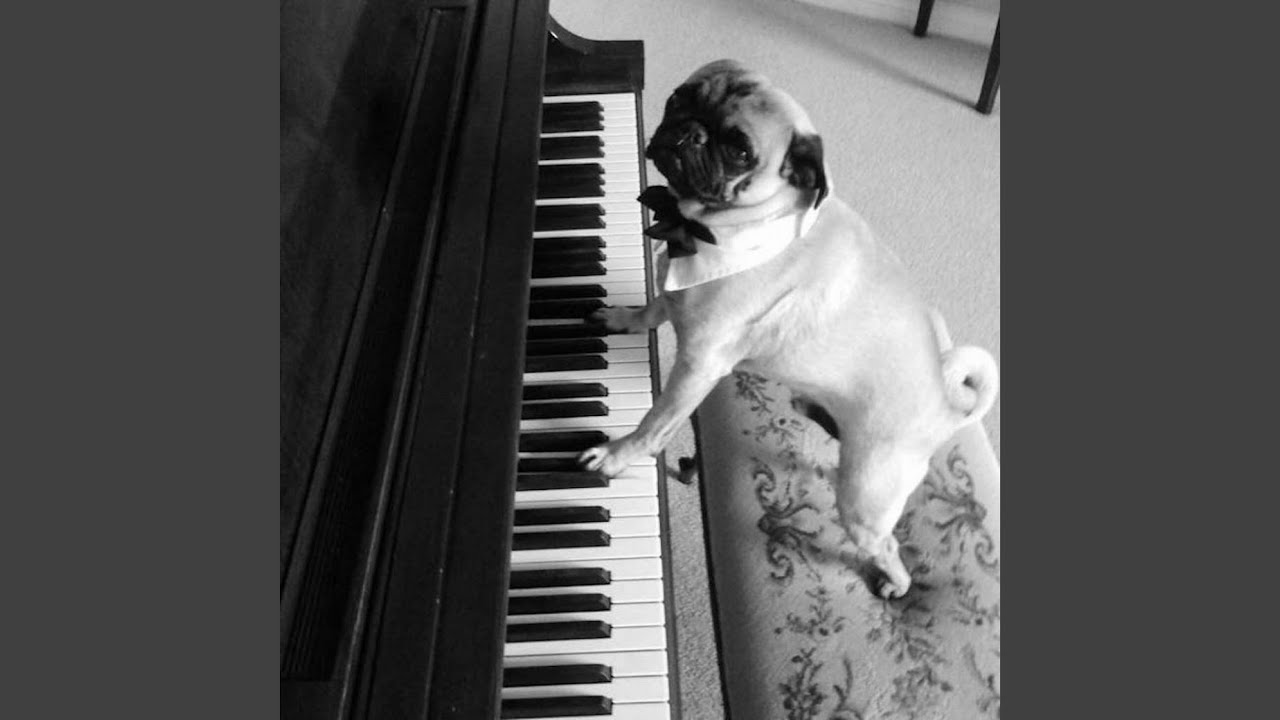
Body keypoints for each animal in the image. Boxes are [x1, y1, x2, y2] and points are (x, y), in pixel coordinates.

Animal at [577, 60, 998, 598]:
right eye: (678, 99)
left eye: (739, 151)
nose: (689, 131)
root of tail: (947, 407)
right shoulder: (671, 297)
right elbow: (653, 309)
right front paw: (624, 319)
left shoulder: (698, 367)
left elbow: (655, 423)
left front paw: (617, 455)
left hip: (866, 494)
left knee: (886, 544)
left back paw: (896, 585)